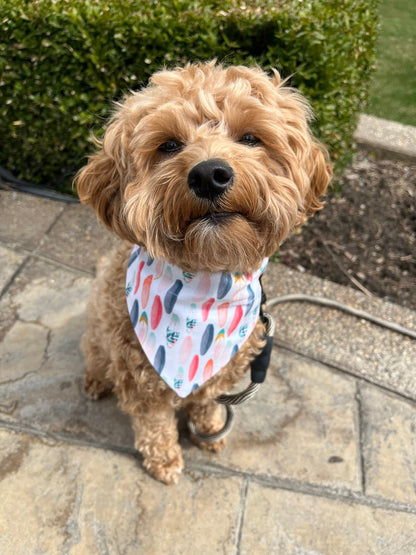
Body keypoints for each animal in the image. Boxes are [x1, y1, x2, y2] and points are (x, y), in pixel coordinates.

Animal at [75, 60, 332, 484]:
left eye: (250, 137)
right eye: (168, 145)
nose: (209, 174)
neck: (206, 280)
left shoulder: (221, 372)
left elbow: (207, 403)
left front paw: (209, 428)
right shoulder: (141, 382)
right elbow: (155, 425)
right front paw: (164, 460)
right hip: (98, 333)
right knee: (95, 356)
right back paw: (95, 381)